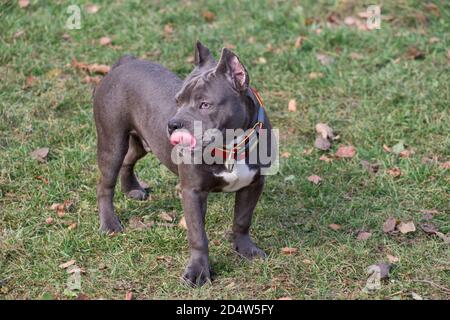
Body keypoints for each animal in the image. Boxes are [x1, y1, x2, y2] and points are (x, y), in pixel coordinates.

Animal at [93, 41, 272, 286]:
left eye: (205, 104)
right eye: (177, 101)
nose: (173, 124)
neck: (230, 147)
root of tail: (124, 63)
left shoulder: (253, 184)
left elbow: (243, 220)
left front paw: (246, 250)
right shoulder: (192, 191)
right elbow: (198, 236)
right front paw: (198, 272)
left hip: (144, 142)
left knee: (129, 159)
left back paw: (131, 188)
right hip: (112, 142)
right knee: (105, 185)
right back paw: (109, 223)